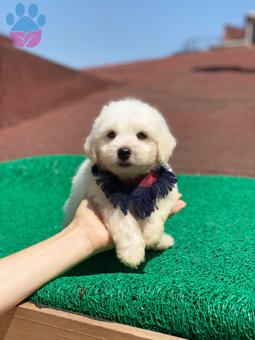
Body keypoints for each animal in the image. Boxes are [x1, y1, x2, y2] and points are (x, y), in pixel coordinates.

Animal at [63, 98, 179, 268]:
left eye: (142, 135)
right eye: (111, 134)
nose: (123, 151)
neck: (131, 181)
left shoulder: (165, 187)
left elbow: (158, 209)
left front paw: (151, 235)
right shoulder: (108, 200)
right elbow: (126, 225)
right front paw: (132, 254)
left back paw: (162, 241)